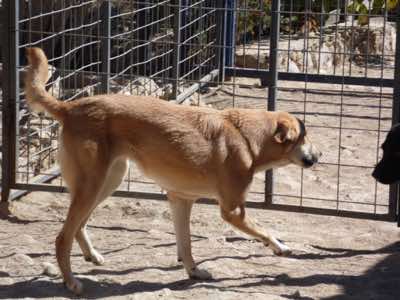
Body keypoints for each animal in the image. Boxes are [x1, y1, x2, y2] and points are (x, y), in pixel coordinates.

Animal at [25, 48, 320, 294]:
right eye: (304, 137)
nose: (318, 157)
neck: (248, 138)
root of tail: (70, 107)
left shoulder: (181, 199)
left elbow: (186, 243)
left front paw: (194, 271)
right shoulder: (233, 211)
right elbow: (264, 230)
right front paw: (280, 247)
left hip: (108, 181)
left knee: (79, 225)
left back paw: (91, 255)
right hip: (92, 185)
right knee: (62, 237)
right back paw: (71, 282)